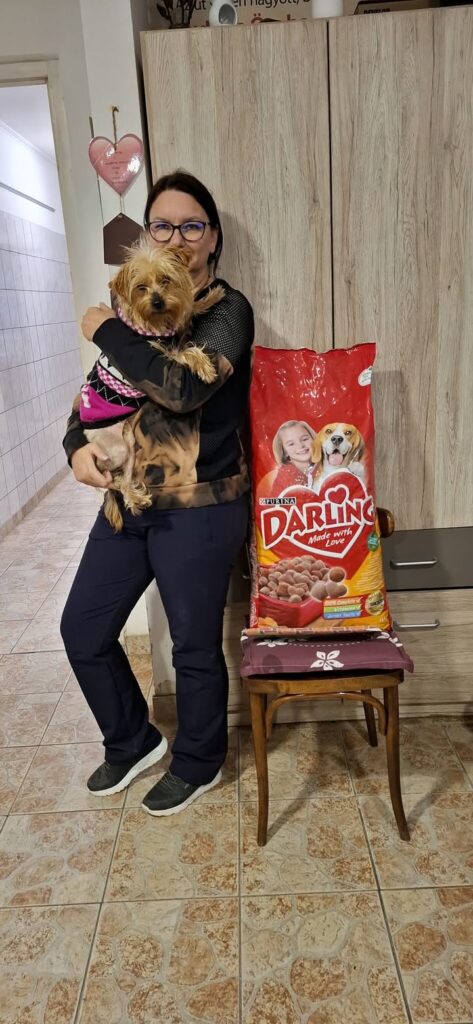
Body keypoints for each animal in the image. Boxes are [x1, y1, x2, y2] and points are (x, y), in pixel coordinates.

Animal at [80, 242, 225, 531]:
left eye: (166, 280)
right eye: (141, 287)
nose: (158, 302)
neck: (154, 322)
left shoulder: (171, 328)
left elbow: (187, 312)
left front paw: (210, 297)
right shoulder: (162, 355)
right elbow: (186, 351)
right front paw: (204, 366)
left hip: (129, 447)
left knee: (122, 478)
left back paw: (137, 498)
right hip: (117, 448)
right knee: (116, 482)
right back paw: (135, 498)